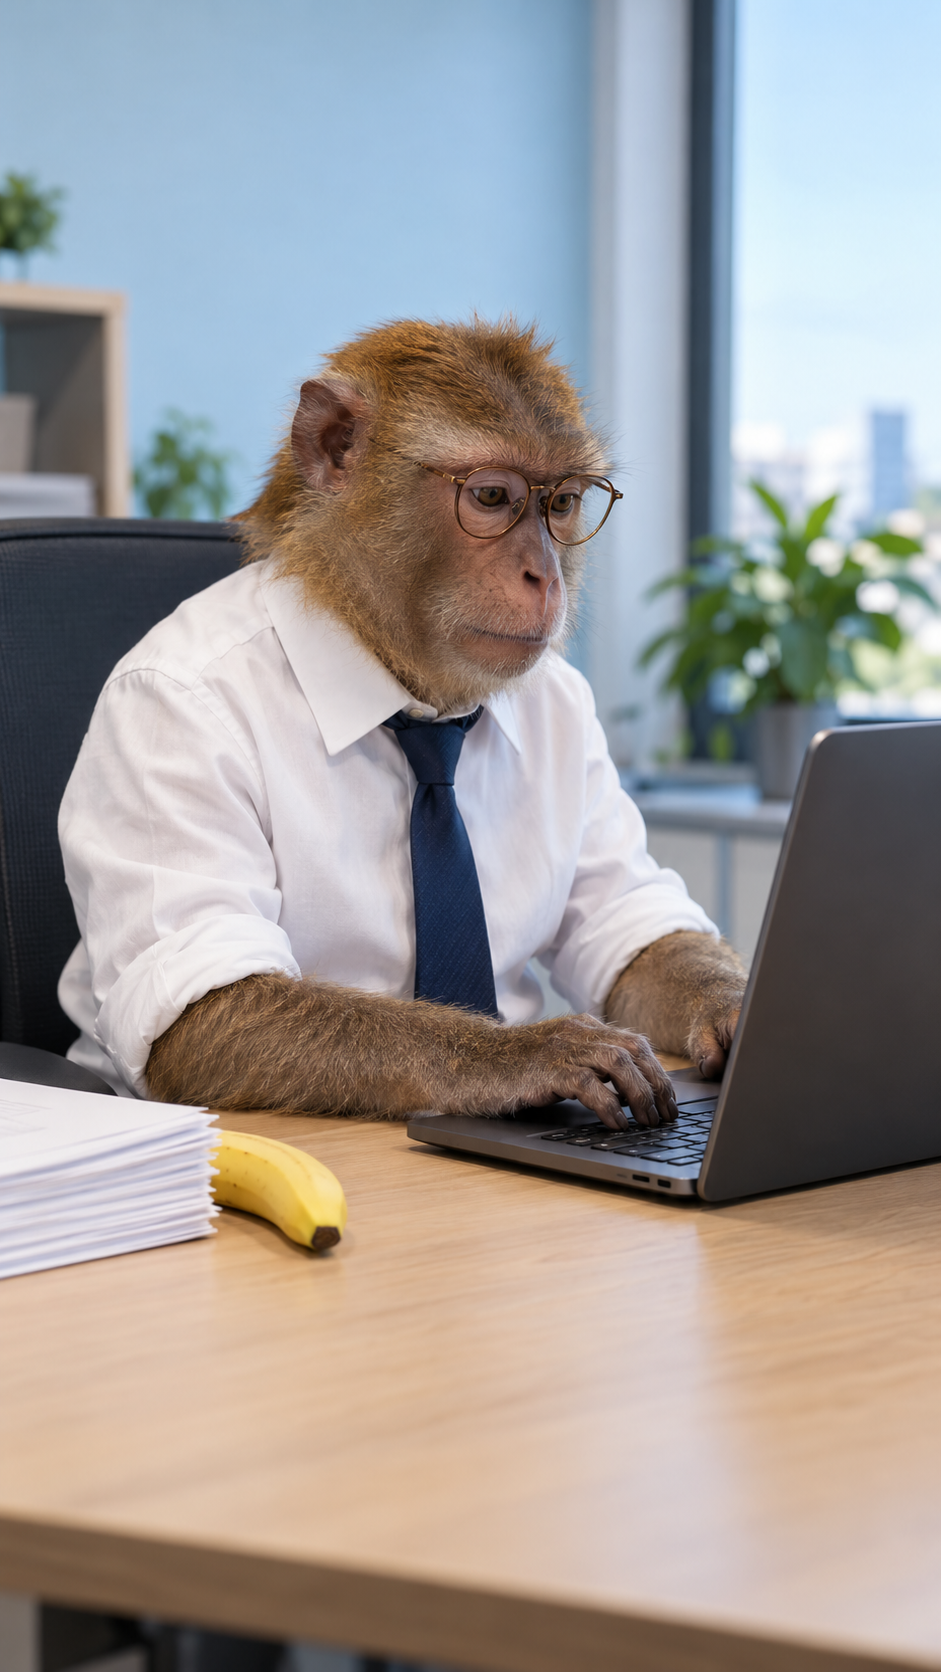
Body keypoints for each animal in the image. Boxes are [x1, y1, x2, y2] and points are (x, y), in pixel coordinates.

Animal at [59, 318, 746, 1128]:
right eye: (493, 496)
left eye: (564, 504)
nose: (543, 575)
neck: (409, 695)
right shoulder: (162, 715)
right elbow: (217, 1003)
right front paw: (530, 1051)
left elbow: (638, 929)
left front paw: (742, 1011)